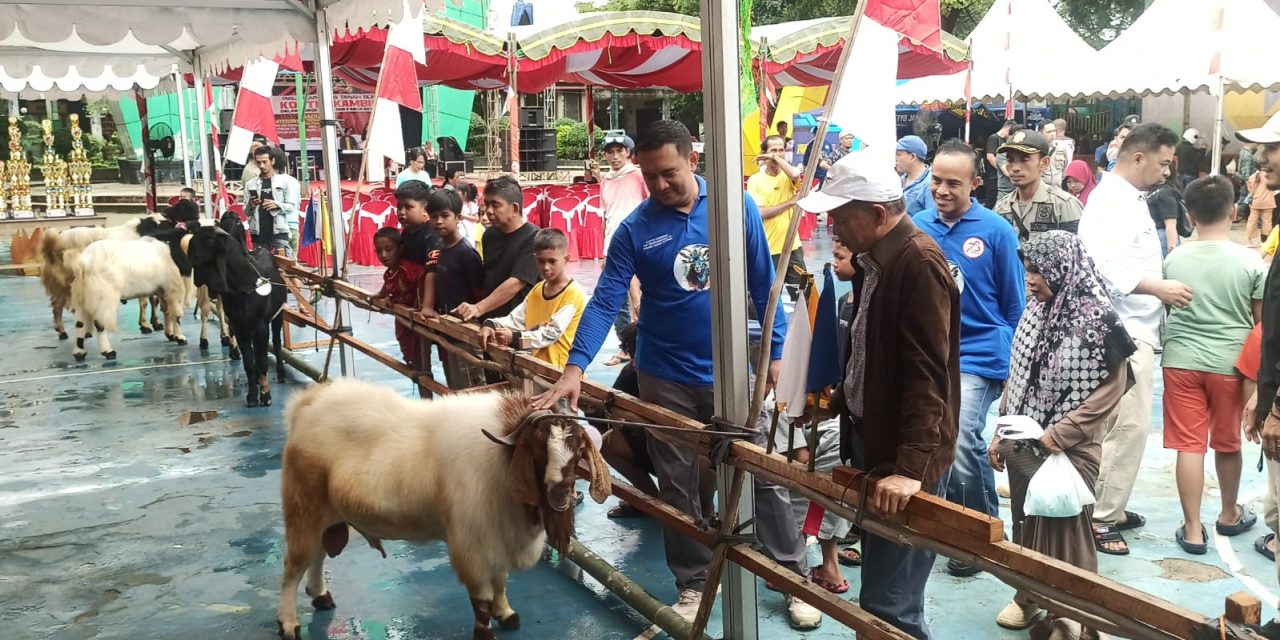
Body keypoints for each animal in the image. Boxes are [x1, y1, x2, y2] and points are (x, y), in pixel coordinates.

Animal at [185, 213, 285, 404]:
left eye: (208, 240)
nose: (188, 251)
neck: (244, 286)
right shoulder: (240, 328)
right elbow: (249, 362)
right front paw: (252, 396)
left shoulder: (261, 328)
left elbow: (262, 361)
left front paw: (266, 394)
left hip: (278, 316)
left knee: (276, 343)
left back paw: (281, 374)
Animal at [273, 378, 609, 640]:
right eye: (538, 447)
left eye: (578, 448)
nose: (560, 492)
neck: (502, 460)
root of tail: (305, 406)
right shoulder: (472, 545)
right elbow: (481, 598)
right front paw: (486, 630)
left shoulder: (497, 536)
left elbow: (500, 580)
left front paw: (506, 614)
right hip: (303, 507)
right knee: (293, 566)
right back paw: (288, 623)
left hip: (327, 515)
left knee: (317, 555)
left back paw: (320, 595)